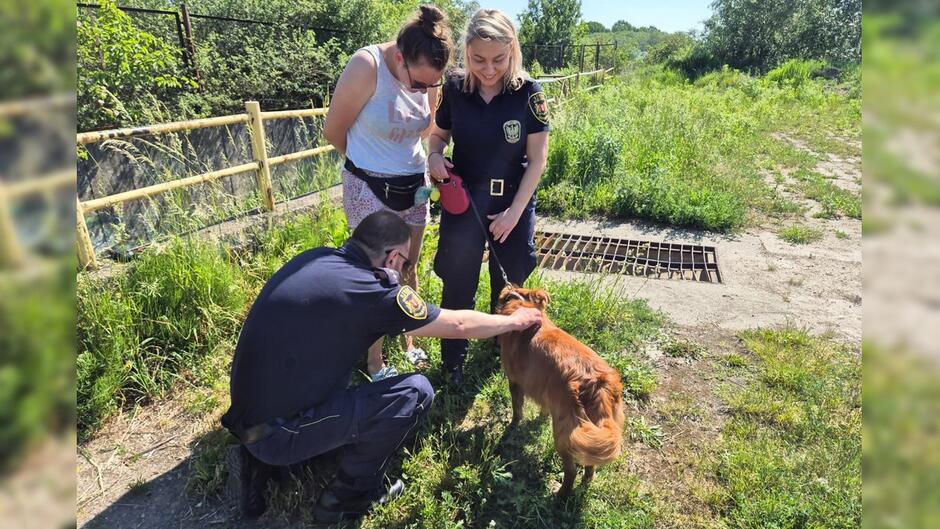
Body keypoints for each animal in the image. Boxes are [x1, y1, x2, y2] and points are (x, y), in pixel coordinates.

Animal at [492, 284, 624, 496]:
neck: (522, 303)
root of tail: (598, 382)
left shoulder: (515, 382)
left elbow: (517, 411)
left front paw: (512, 426)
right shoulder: (544, 389)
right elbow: (543, 409)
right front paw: (539, 419)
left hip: (564, 433)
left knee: (571, 471)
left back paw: (561, 495)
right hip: (592, 431)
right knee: (590, 465)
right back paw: (585, 484)